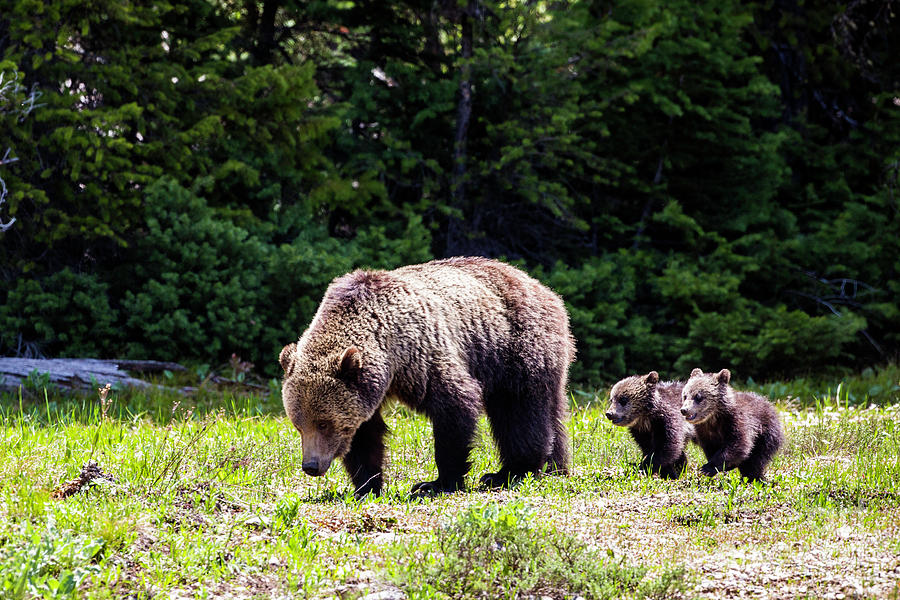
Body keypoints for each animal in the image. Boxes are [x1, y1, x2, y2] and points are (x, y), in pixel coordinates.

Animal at [278, 258, 572, 496]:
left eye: (324, 423)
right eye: (298, 425)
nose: (311, 465)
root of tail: (544, 289)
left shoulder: (419, 355)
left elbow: (455, 404)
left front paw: (436, 483)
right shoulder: (368, 389)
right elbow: (366, 434)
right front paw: (367, 485)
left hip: (514, 348)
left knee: (518, 411)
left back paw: (510, 472)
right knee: (551, 412)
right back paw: (555, 466)